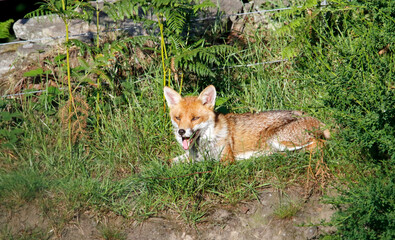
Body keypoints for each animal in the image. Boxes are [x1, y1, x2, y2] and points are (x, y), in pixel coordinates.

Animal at [164, 85, 332, 164]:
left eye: (195, 118)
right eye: (178, 118)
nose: (181, 131)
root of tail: (312, 117)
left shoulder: (225, 159)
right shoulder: (190, 157)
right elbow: (169, 162)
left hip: (277, 140)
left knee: (320, 144)